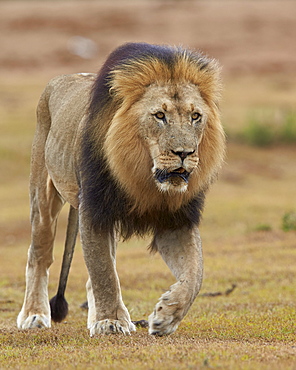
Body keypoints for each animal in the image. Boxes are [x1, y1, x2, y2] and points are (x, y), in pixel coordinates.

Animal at [16, 42, 224, 336]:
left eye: (195, 116)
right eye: (159, 116)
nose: (184, 153)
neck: (145, 178)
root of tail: (60, 78)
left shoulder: (176, 219)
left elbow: (195, 276)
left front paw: (166, 315)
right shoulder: (94, 210)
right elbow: (104, 271)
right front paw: (110, 321)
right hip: (43, 195)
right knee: (39, 255)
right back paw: (34, 315)